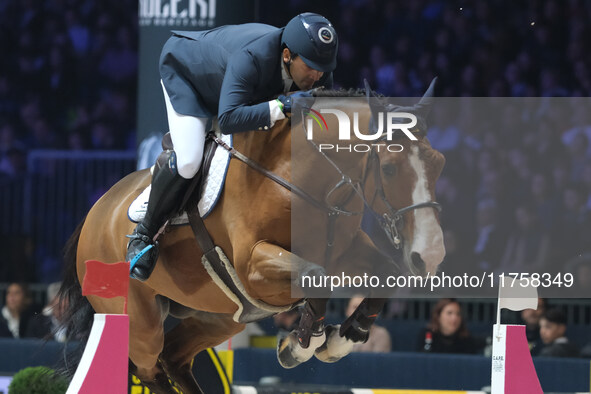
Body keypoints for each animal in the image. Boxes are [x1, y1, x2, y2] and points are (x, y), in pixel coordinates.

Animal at [59, 81, 444, 394]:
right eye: (389, 168)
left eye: (439, 163)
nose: (431, 255)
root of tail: (95, 211)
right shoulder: (254, 266)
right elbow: (315, 275)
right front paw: (300, 345)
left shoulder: (346, 252)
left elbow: (387, 275)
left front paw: (342, 339)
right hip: (140, 322)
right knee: (150, 368)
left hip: (218, 316)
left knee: (174, 358)